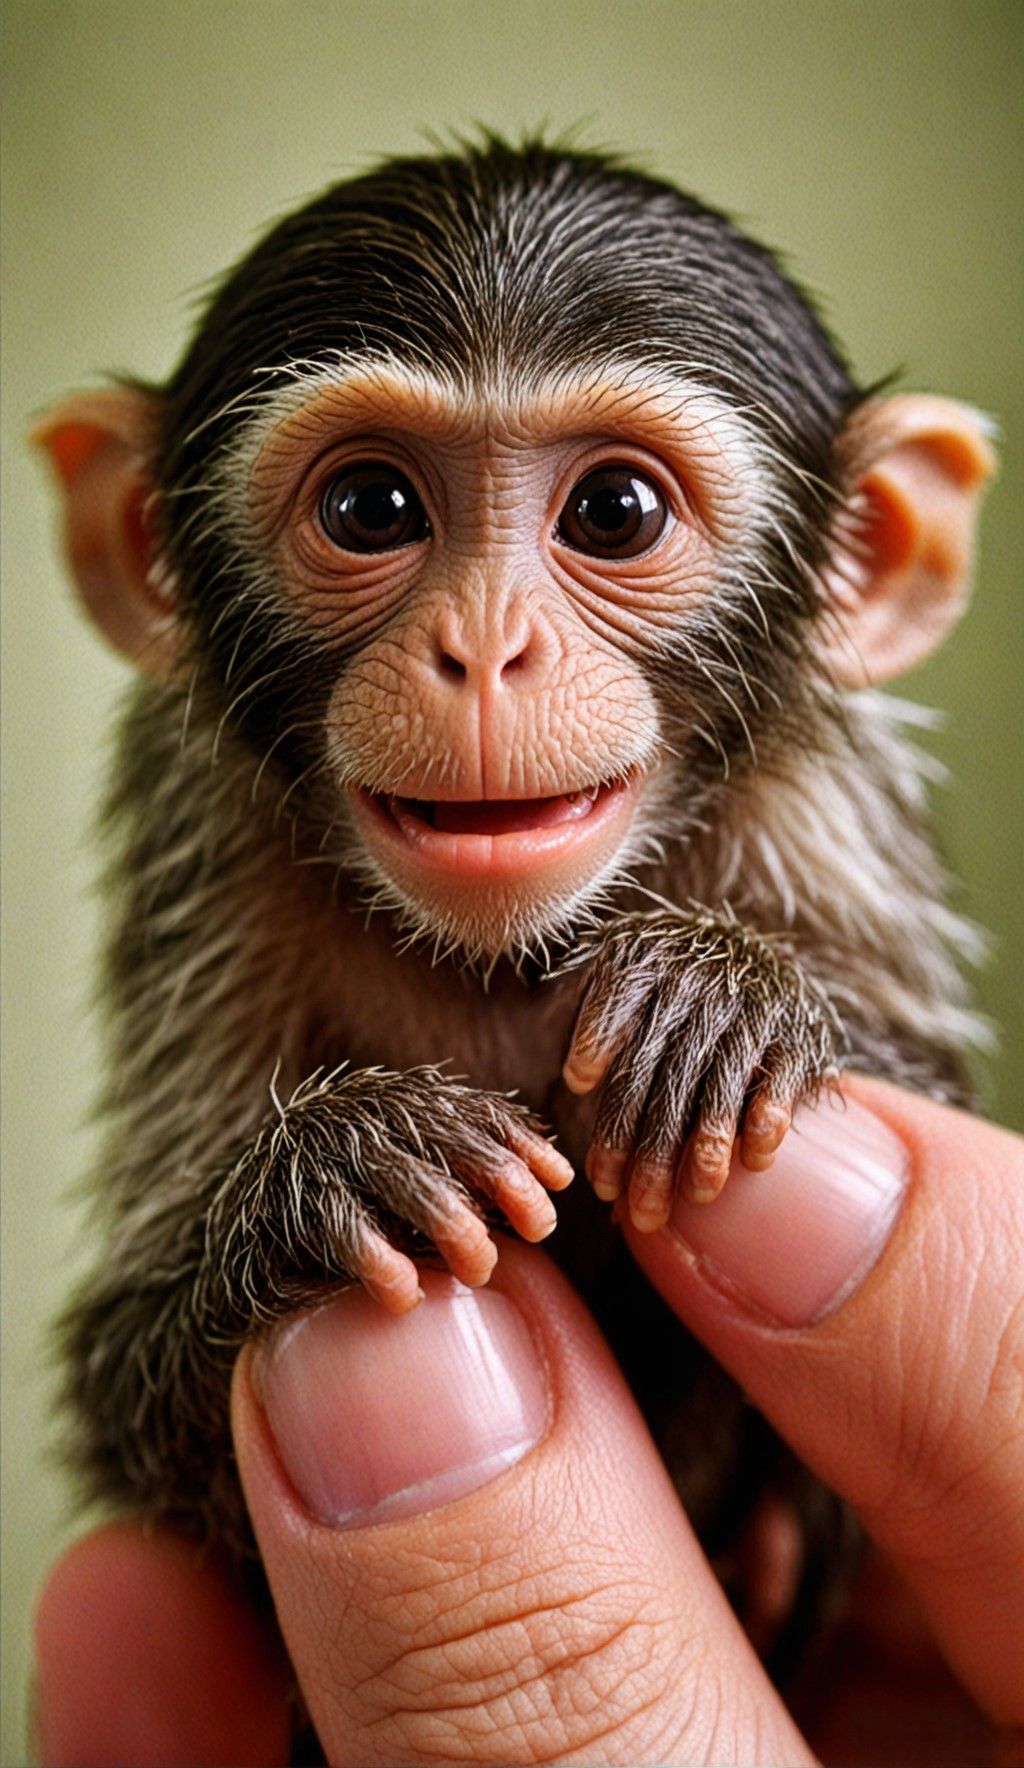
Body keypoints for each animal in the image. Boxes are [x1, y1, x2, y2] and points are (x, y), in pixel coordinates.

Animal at [36, 136, 995, 1685]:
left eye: (615, 511)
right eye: (371, 508)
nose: (485, 650)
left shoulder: (827, 802)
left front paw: (717, 1005)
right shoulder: (202, 847)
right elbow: (119, 1371)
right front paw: (336, 1175)